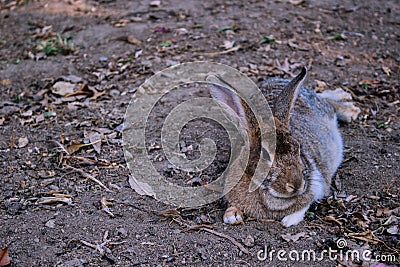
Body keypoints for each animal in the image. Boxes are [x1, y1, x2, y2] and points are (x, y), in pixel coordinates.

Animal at [209, 66, 360, 226]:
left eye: (298, 147)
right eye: (265, 155)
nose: (297, 185)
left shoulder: (317, 183)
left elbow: (305, 203)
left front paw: (289, 220)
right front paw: (232, 215)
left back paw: (349, 109)